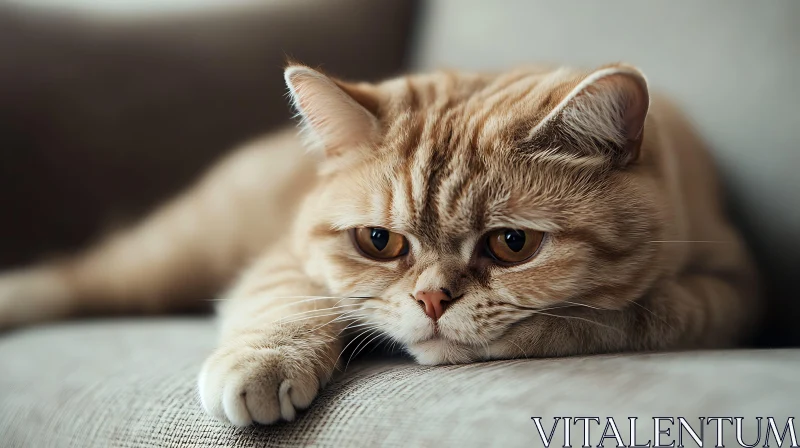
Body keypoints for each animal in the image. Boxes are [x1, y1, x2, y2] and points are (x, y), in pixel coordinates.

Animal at [0, 61, 764, 426]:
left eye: (512, 244)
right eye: (378, 241)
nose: (431, 300)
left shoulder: (728, 295)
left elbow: (620, 317)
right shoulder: (284, 258)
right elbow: (287, 298)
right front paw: (267, 361)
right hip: (175, 253)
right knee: (84, 272)